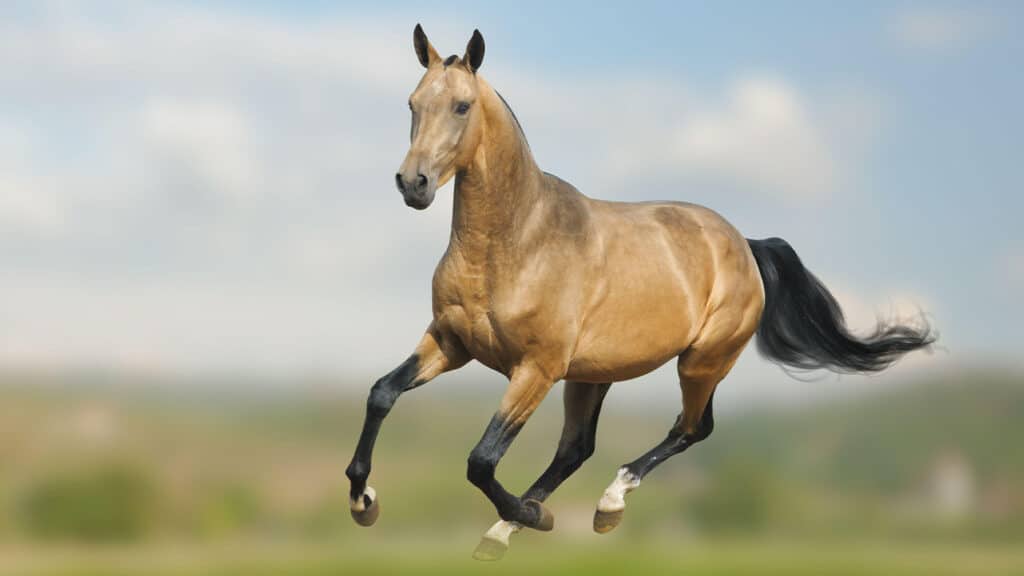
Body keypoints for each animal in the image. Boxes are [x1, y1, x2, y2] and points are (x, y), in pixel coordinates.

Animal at [346, 24, 937, 557]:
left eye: (463, 106)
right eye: (412, 103)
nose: (413, 183)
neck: (515, 243)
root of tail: (745, 245)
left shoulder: (536, 368)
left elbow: (481, 460)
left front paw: (533, 515)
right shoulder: (452, 343)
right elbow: (382, 394)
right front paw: (363, 500)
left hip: (700, 361)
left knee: (692, 428)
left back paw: (600, 506)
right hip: (594, 375)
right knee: (578, 448)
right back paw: (508, 530)